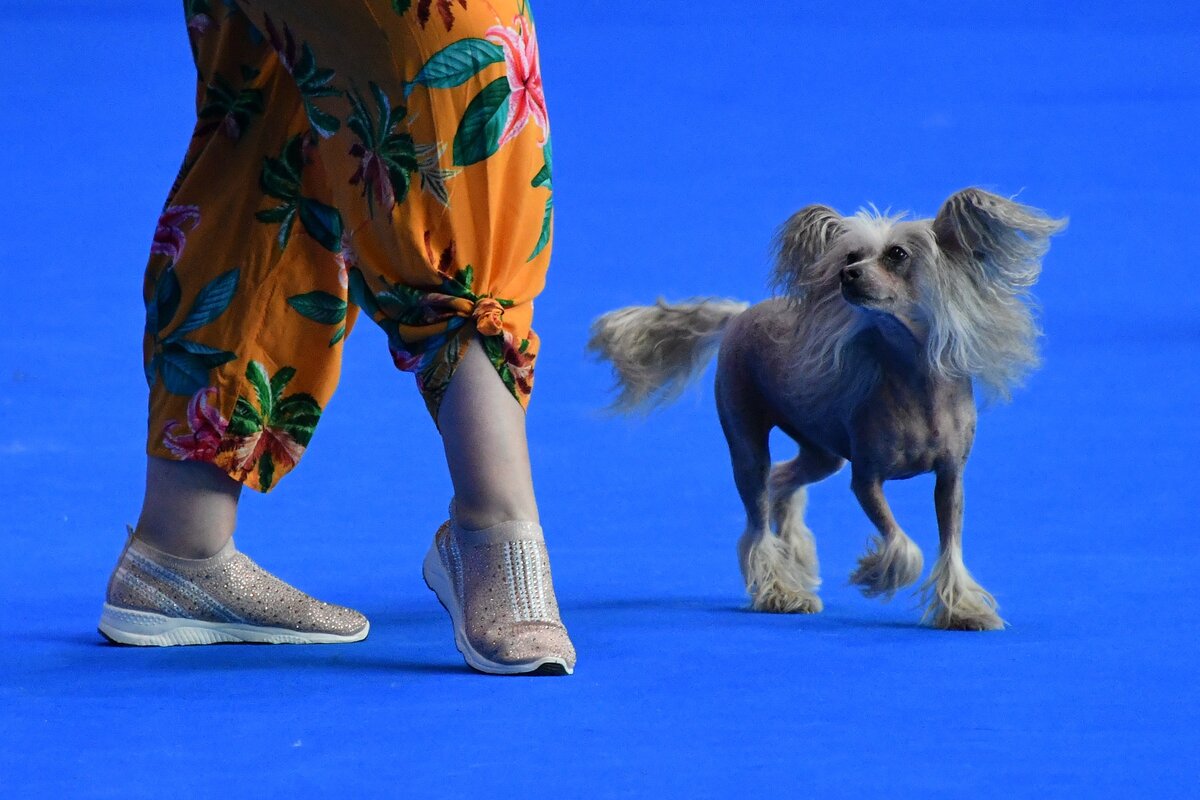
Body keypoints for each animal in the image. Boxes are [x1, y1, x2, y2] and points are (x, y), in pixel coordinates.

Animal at [590, 189, 1070, 633]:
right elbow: (903, 544)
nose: (847, 274)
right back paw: (780, 591)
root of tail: (741, 313)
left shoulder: (950, 478)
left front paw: (962, 611)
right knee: (756, 517)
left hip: (821, 450)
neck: (915, 383)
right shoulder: (867, 479)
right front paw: (876, 574)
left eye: (898, 254)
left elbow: (950, 546)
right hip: (744, 435)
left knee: (781, 481)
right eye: (852, 256)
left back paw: (794, 556)